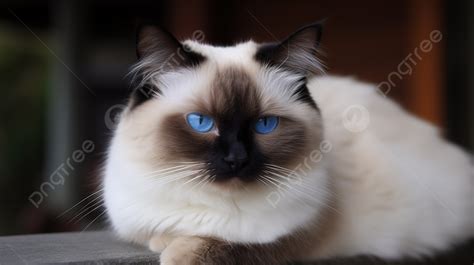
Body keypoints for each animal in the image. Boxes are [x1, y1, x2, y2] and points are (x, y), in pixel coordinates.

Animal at [104, 23, 474, 264]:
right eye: (201, 123)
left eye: (265, 125)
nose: (236, 159)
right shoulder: (137, 222)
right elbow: (161, 232)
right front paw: (165, 242)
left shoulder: (299, 233)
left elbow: (237, 247)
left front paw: (178, 252)